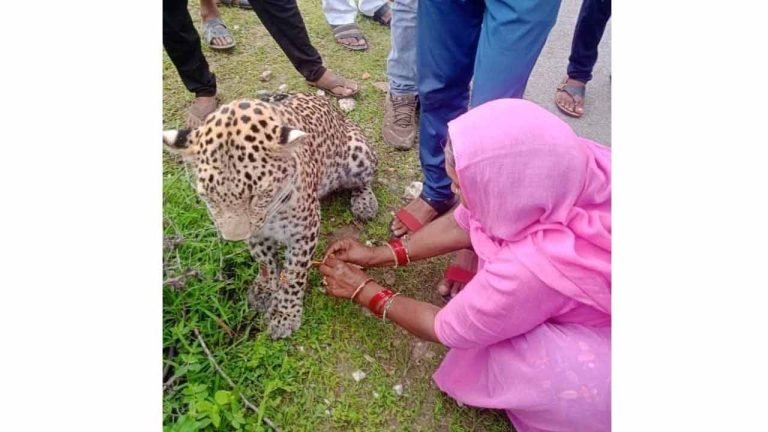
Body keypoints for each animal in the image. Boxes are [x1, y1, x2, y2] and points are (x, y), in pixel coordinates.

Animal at [163, 92, 378, 339]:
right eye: (209, 198)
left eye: (257, 195)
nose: (234, 239)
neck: (272, 211)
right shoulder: (257, 232)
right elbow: (264, 261)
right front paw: (264, 290)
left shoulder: (304, 231)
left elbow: (294, 275)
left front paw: (285, 315)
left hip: (358, 153)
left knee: (364, 181)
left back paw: (365, 203)